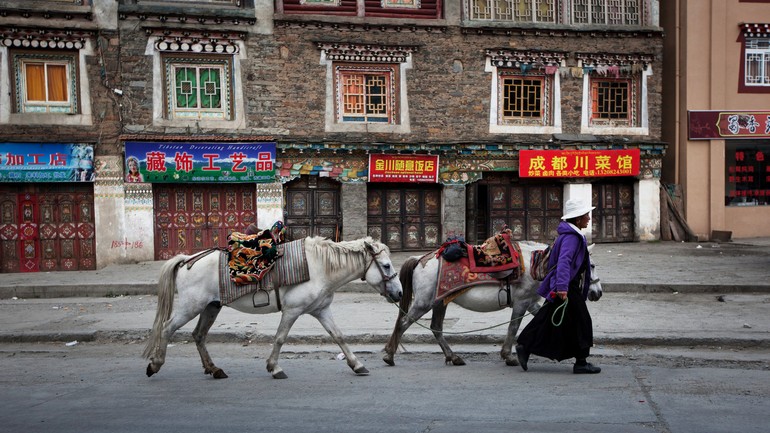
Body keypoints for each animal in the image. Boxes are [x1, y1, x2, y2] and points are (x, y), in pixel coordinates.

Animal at [142, 236, 402, 378]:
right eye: (387, 266)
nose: (400, 293)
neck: (320, 267)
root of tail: (187, 260)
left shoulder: (321, 310)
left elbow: (338, 336)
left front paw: (357, 365)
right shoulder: (292, 311)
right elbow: (280, 338)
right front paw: (274, 368)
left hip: (210, 307)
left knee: (198, 335)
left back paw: (214, 370)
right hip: (191, 307)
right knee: (167, 328)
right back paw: (155, 364)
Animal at [384, 241, 600, 366]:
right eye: (591, 265)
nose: (597, 293)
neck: (536, 265)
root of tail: (421, 258)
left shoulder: (530, 302)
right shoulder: (521, 302)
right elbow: (513, 328)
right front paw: (509, 356)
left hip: (439, 302)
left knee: (436, 328)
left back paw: (453, 357)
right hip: (424, 302)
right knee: (403, 323)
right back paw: (389, 355)